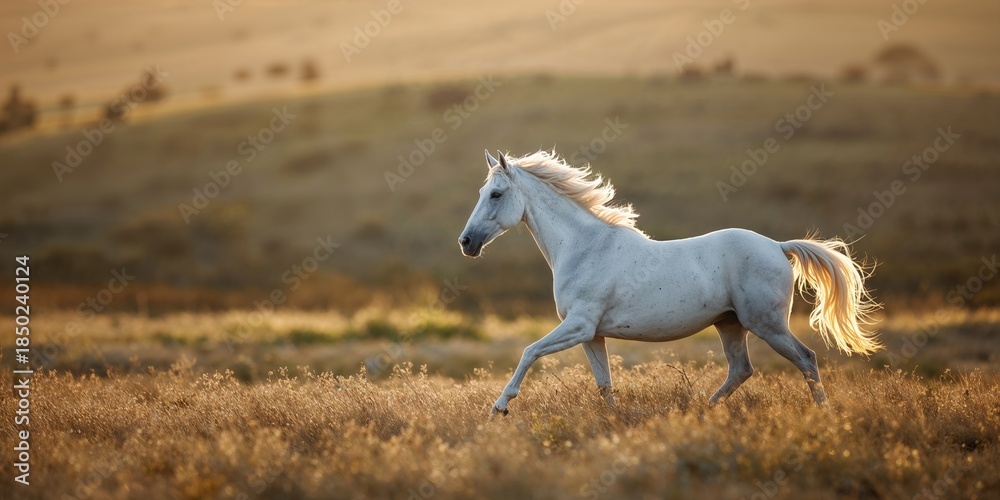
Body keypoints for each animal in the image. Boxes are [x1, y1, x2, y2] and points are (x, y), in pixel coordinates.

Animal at [458, 150, 881, 416]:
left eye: (496, 194)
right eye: (481, 192)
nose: (466, 243)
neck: (584, 247)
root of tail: (777, 246)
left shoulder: (578, 326)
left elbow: (529, 352)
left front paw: (499, 408)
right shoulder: (592, 335)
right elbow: (604, 384)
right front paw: (612, 423)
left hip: (767, 325)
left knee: (806, 360)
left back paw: (823, 416)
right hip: (730, 325)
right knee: (741, 370)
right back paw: (703, 411)